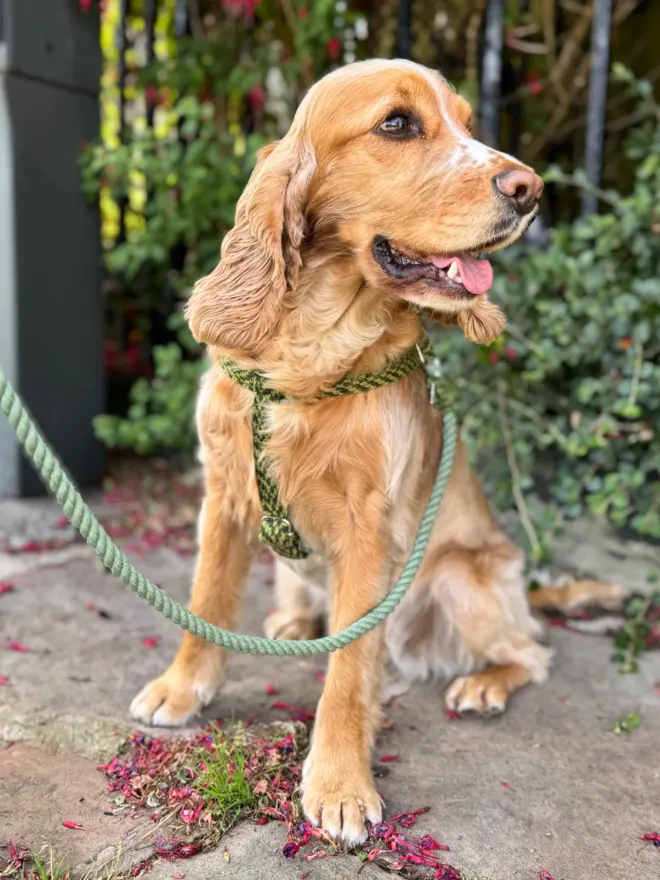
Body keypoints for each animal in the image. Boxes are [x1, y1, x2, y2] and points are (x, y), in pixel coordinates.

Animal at [131, 60, 628, 844]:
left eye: (466, 121)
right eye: (397, 123)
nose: (531, 188)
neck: (308, 356)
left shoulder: (370, 533)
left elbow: (346, 670)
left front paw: (338, 784)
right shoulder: (224, 499)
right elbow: (206, 602)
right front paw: (183, 688)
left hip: (462, 577)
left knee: (530, 649)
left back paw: (485, 682)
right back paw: (295, 620)